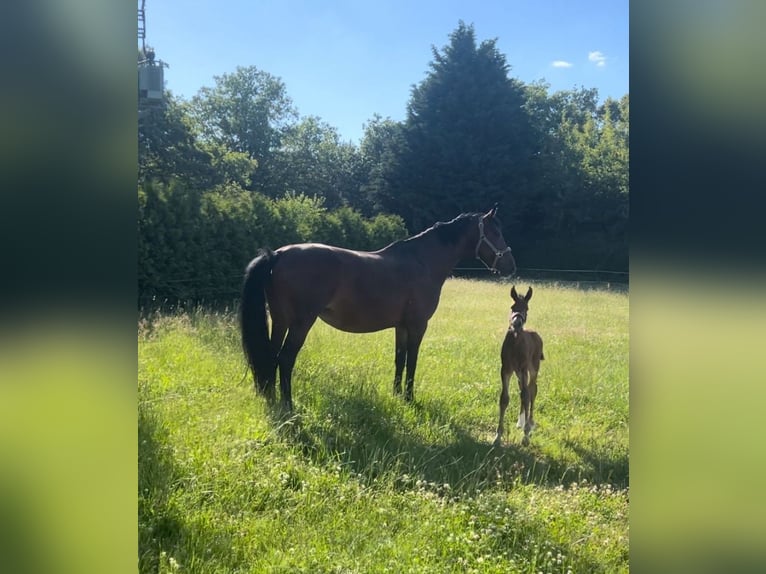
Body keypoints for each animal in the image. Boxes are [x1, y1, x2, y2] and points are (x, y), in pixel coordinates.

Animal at [240, 207, 516, 410]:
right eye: (495, 232)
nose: (511, 265)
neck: (422, 261)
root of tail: (277, 255)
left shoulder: (401, 326)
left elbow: (399, 359)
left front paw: (397, 395)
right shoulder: (418, 325)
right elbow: (412, 361)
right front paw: (409, 398)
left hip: (280, 320)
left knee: (271, 355)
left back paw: (271, 396)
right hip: (300, 324)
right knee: (285, 359)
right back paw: (288, 404)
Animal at [496, 286, 544, 448]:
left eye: (526, 308)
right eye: (513, 307)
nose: (516, 323)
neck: (515, 342)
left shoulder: (523, 369)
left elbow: (526, 395)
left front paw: (526, 435)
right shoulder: (506, 369)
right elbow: (504, 398)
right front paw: (498, 436)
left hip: (533, 368)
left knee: (532, 390)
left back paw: (530, 423)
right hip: (518, 373)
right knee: (523, 390)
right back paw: (521, 422)